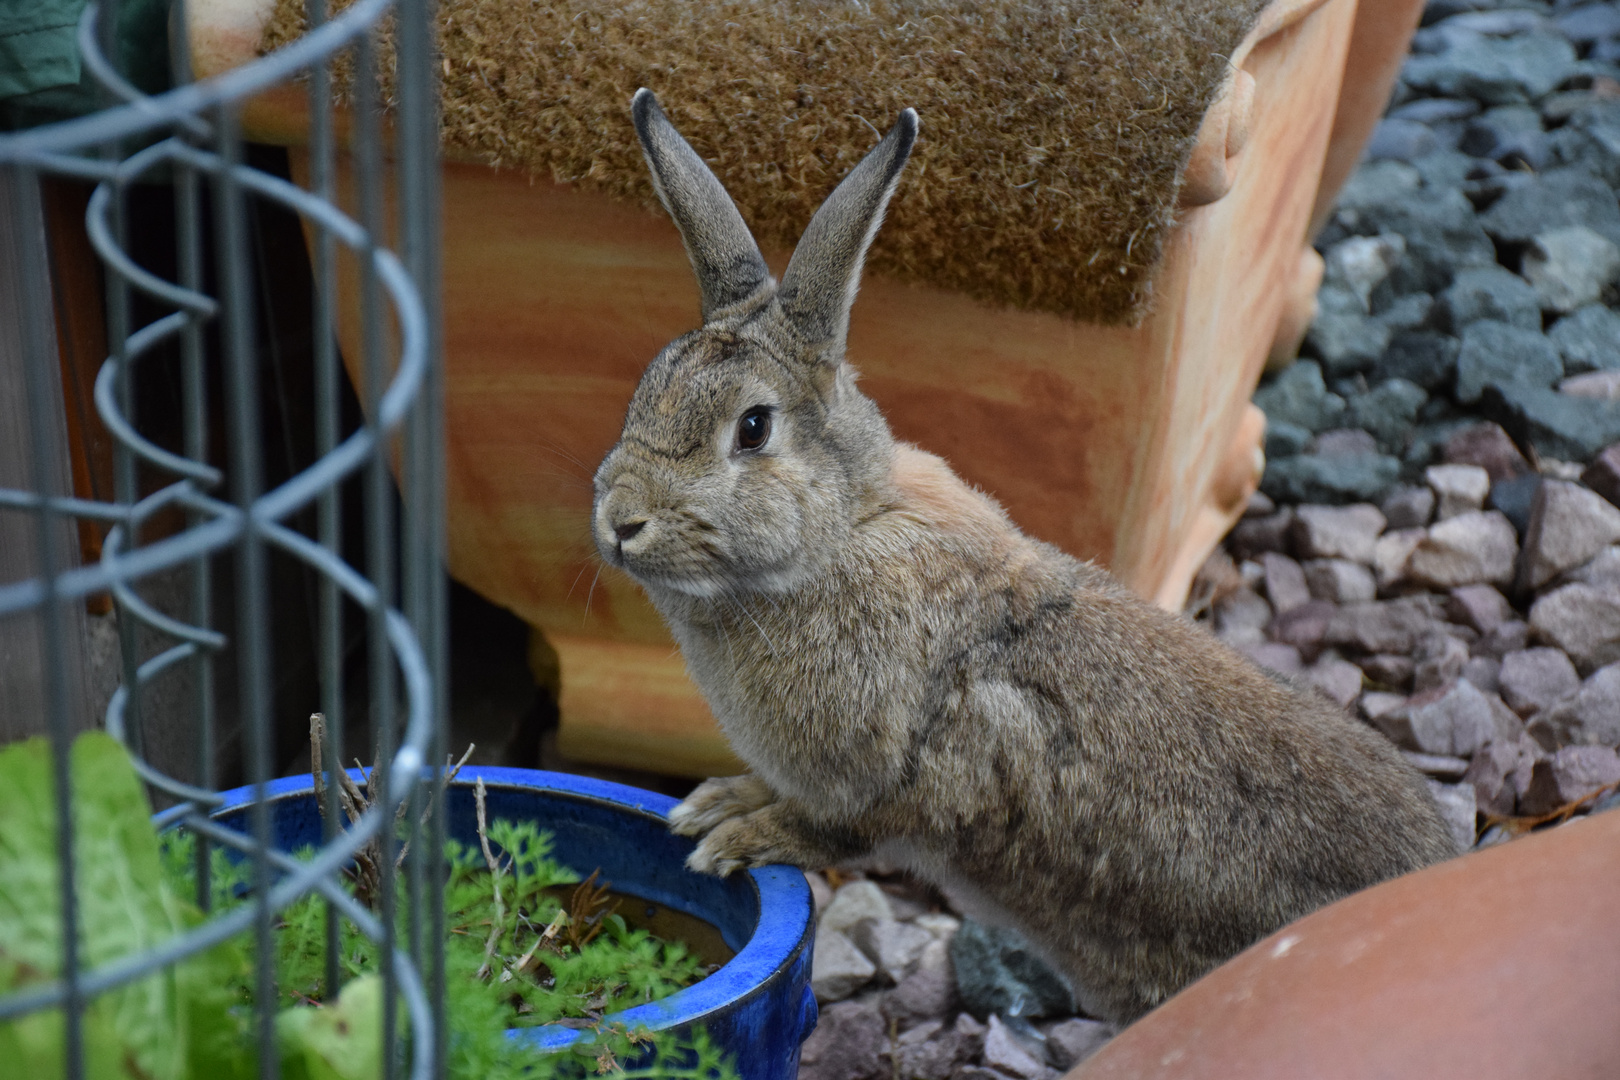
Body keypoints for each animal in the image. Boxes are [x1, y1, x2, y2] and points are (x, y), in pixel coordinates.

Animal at [592, 88, 1458, 1029]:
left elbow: (845, 827)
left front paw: (734, 838)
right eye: (645, 389)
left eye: (752, 428)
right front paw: (717, 802)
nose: (619, 521)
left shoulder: (909, 776)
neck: (835, 538)